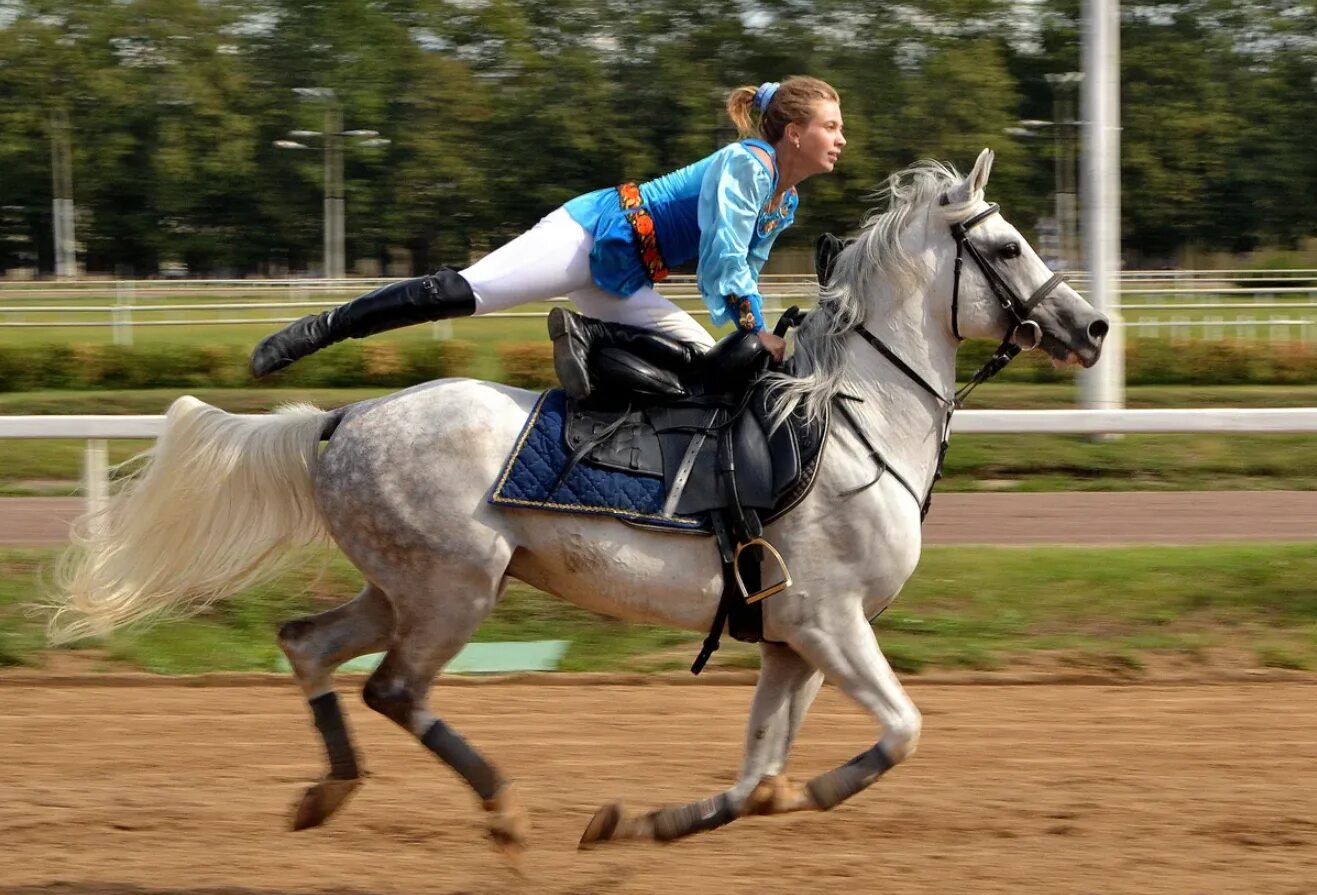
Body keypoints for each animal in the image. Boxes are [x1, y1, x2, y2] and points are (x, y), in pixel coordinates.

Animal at [48, 148, 1101, 852]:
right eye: (1008, 243)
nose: (1089, 327)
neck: (851, 422)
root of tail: (339, 421)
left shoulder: (791, 636)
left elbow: (755, 772)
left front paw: (646, 819)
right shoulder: (830, 619)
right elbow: (897, 733)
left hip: (401, 584)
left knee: (308, 644)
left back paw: (329, 790)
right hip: (455, 585)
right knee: (394, 687)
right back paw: (502, 805)